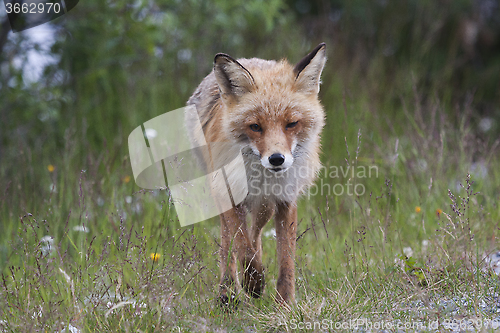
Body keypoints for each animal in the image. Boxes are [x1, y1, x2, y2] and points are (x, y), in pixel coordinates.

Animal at [186, 42, 326, 304]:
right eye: (255, 126)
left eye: (291, 124)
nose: (277, 159)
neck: (260, 177)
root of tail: (249, 59)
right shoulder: (228, 193)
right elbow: (242, 249)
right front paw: (253, 283)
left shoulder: (285, 200)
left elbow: (285, 260)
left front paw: (285, 304)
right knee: (229, 242)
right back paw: (228, 292)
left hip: (265, 207)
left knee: (256, 233)